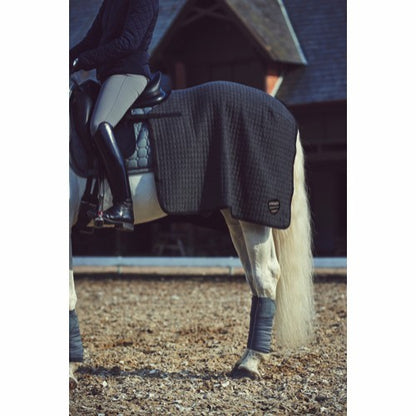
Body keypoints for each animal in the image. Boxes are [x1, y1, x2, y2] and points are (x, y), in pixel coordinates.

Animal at [69, 76, 315, 388]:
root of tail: (281, 110)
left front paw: (69, 368)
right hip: (235, 217)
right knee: (254, 277)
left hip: (254, 217)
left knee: (265, 275)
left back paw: (250, 363)